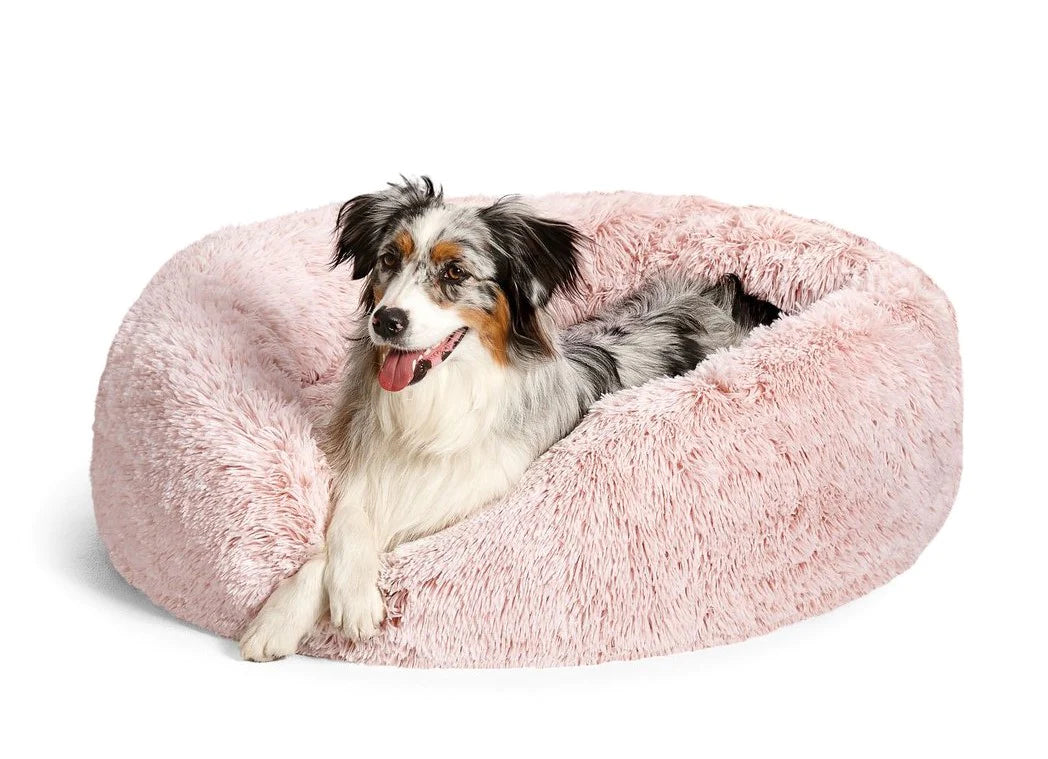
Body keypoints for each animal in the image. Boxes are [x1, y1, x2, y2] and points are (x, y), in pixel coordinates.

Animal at [239, 177, 780, 660]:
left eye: (455, 272)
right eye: (389, 259)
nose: (386, 321)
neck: (439, 394)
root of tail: (726, 294)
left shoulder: (473, 496)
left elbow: (391, 538)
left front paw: (348, 599)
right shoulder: (365, 464)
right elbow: (345, 528)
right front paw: (284, 616)